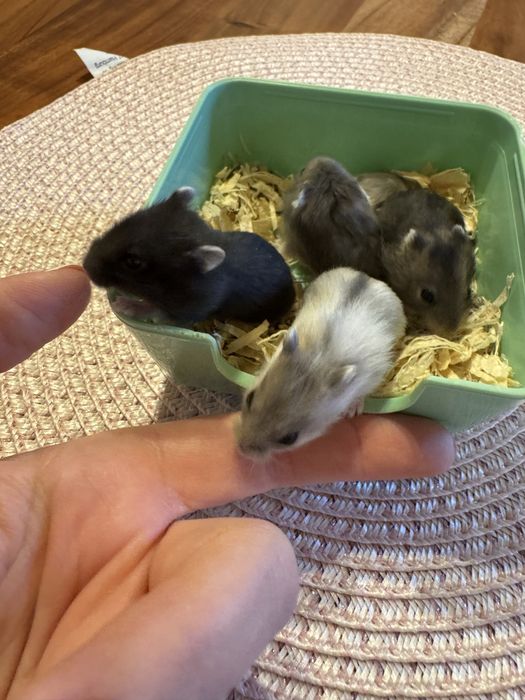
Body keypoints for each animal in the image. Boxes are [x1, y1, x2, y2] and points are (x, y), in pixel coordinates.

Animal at [83, 187, 296, 324]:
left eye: (133, 262)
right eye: (124, 221)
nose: (84, 266)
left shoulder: (186, 313)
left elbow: (153, 311)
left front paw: (122, 304)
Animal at [236, 267, 406, 460]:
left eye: (290, 438)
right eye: (250, 398)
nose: (241, 449)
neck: (319, 359)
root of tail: (370, 278)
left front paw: (352, 413)